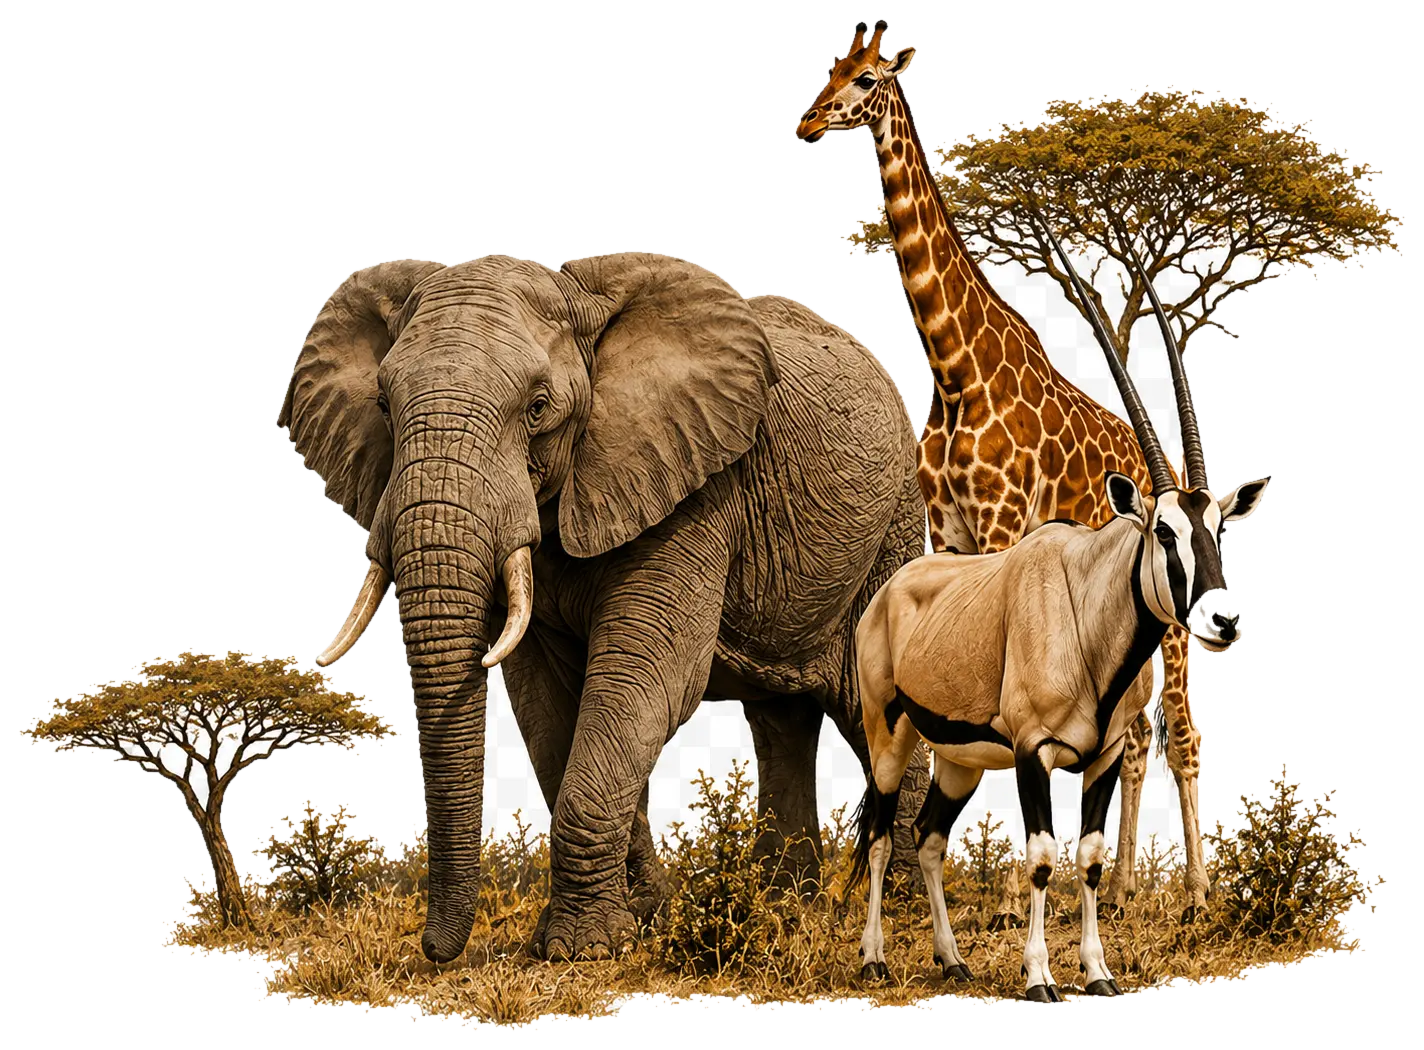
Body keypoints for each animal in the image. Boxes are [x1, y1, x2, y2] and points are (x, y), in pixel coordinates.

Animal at [277, 250, 927, 963]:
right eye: (384, 409)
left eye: (538, 408)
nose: (436, 950)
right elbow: (547, 702)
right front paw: (641, 918)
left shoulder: (695, 486)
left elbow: (645, 678)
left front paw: (577, 950)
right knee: (781, 722)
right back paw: (787, 903)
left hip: (894, 528)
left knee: (875, 711)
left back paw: (902, 906)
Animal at [795, 20, 1207, 923]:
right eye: (830, 67)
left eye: (868, 78)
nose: (805, 122)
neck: (954, 369)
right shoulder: (944, 530)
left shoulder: (1003, 521)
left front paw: (1017, 897)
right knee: (1138, 735)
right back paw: (1127, 887)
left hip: (1170, 618)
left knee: (1182, 729)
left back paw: (1197, 889)